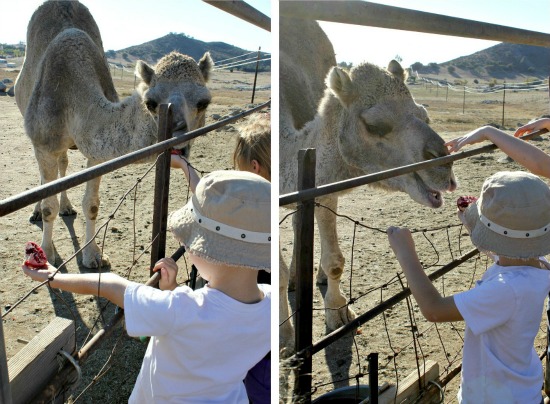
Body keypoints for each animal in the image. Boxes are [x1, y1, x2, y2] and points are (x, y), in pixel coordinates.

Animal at [15, 3, 213, 270]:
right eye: (150, 102)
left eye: (203, 103)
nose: (178, 144)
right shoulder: (45, 142)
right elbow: (49, 206)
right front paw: (46, 254)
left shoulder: (97, 155)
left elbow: (92, 204)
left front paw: (94, 257)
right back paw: (37, 211)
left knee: (63, 165)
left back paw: (67, 207)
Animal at [282, 17, 460, 352]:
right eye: (376, 125)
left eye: (424, 114)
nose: (443, 167)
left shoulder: (322, 187)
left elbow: (336, 260)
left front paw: (336, 311)